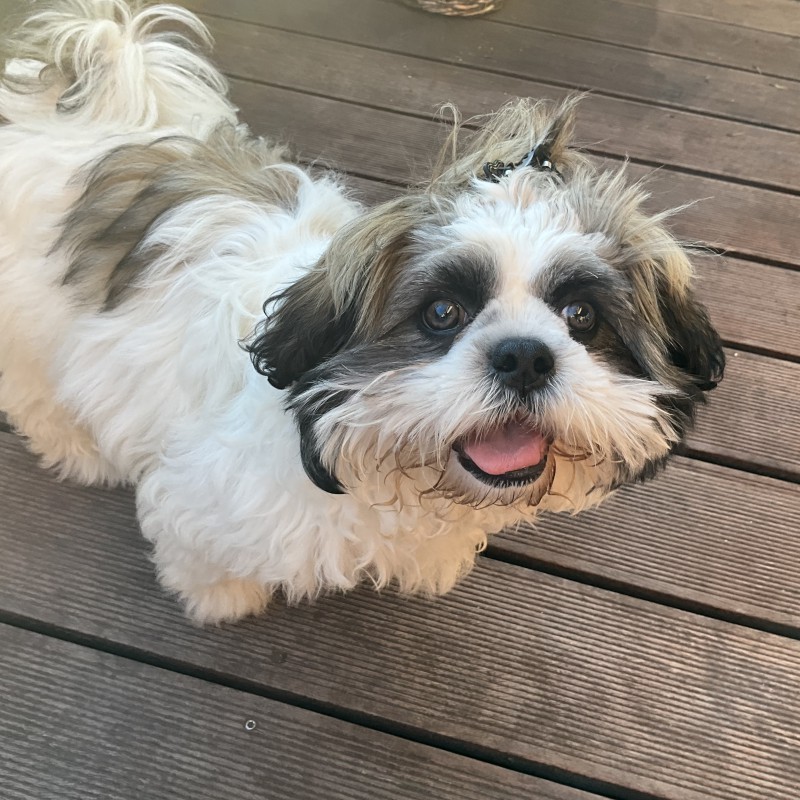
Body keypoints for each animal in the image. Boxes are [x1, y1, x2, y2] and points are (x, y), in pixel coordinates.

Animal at [0, 0, 724, 623]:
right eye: (441, 313)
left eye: (580, 316)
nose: (524, 356)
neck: (362, 444)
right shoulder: (205, 491)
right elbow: (197, 546)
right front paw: (219, 594)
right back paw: (73, 444)